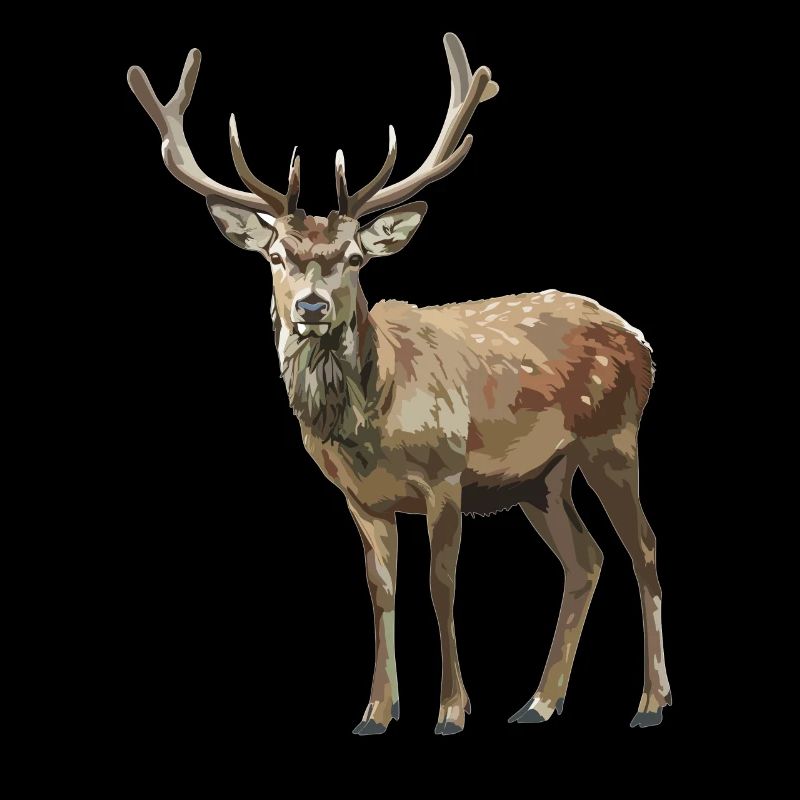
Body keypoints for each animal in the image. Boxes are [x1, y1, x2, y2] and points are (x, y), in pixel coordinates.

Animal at [127, 33, 671, 735]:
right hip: (540, 479)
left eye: (356, 258)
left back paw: (651, 703)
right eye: (276, 256)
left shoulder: (446, 474)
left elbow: (441, 585)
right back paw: (539, 702)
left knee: (644, 549)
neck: (374, 426)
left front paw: (451, 711)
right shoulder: (361, 498)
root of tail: (642, 343)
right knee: (585, 560)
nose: (310, 307)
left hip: (613, 438)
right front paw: (376, 712)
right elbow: (381, 589)